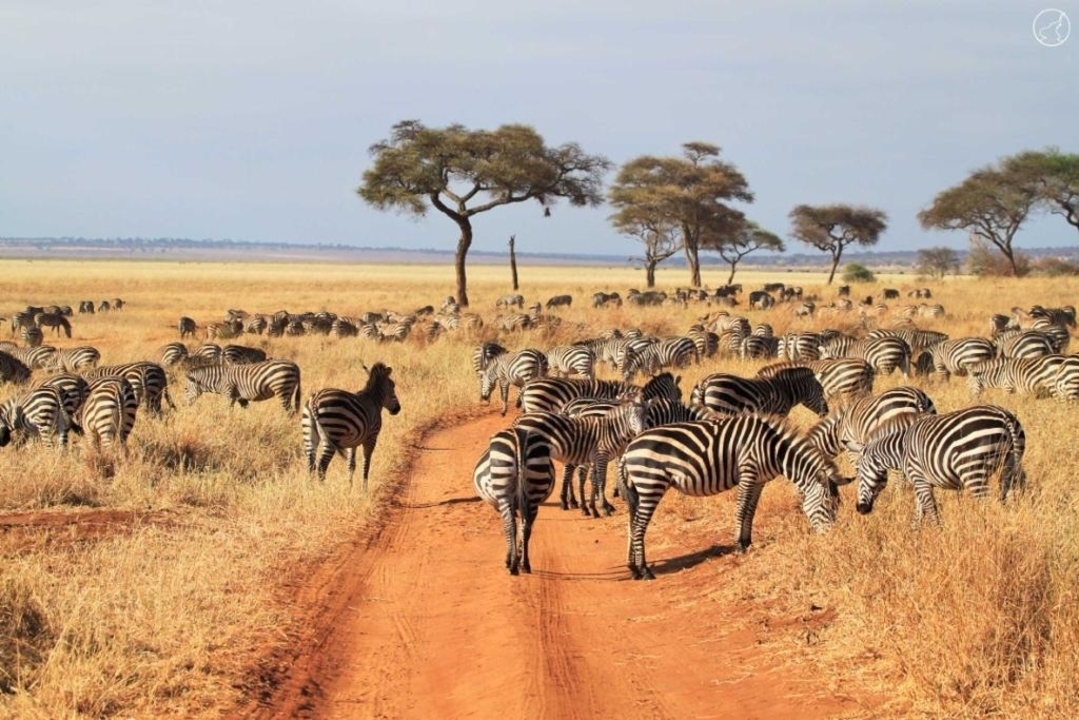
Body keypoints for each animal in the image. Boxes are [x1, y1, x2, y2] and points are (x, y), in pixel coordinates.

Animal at [473, 427, 556, 575]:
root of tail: (518, 435)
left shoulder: (500, 505)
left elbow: (508, 528)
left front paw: (510, 558)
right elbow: (524, 528)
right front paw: (518, 556)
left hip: (504, 491)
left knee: (511, 526)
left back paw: (512, 567)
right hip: (534, 492)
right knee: (526, 527)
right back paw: (525, 564)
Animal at [514, 393, 648, 517]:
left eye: (645, 416)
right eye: (633, 416)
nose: (640, 433)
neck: (611, 430)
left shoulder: (599, 457)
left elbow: (594, 479)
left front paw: (594, 507)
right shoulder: (603, 455)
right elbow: (602, 480)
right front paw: (607, 505)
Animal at [619, 416, 842, 579]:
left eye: (837, 506)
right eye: (827, 505)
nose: (831, 538)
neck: (773, 448)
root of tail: (628, 449)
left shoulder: (759, 481)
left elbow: (751, 510)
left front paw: (748, 542)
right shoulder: (748, 471)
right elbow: (742, 508)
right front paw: (739, 545)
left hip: (638, 490)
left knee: (631, 524)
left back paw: (633, 568)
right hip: (651, 484)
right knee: (638, 526)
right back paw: (645, 570)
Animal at [846, 405, 1026, 525]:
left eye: (859, 475)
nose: (860, 509)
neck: (901, 449)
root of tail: (1004, 416)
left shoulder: (919, 479)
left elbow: (931, 510)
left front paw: (938, 535)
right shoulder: (921, 482)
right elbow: (919, 512)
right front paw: (914, 538)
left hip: (972, 472)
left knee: (988, 504)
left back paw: (985, 530)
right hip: (1009, 466)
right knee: (1008, 500)